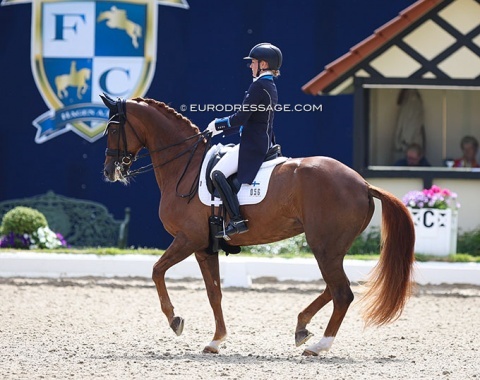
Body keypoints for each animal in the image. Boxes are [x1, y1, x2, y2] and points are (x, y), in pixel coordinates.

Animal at [99, 95, 414, 356]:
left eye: (113, 129)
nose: (109, 171)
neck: (184, 168)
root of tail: (362, 183)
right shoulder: (205, 247)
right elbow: (214, 293)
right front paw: (216, 340)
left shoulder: (188, 239)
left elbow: (156, 271)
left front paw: (175, 320)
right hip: (332, 248)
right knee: (335, 288)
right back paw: (302, 327)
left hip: (323, 246)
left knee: (342, 293)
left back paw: (318, 346)